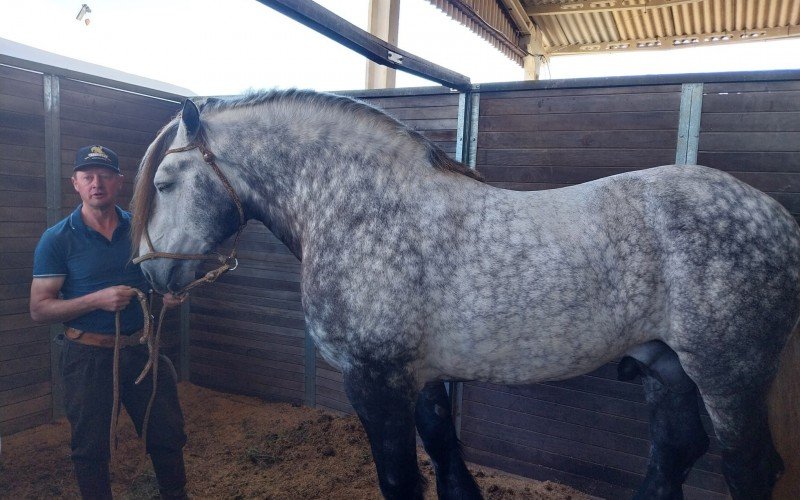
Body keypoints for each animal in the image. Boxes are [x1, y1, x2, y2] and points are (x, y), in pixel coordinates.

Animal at [133, 91, 800, 500]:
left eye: (164, 182)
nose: (150, 275)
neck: (361, 208)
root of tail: (780, 222)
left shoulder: (374, 380)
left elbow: (402, 478)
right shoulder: (424, 376)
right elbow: (447, 459)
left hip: (729, 377)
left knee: (748, 469)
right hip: (668, 368)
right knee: (675, 452)